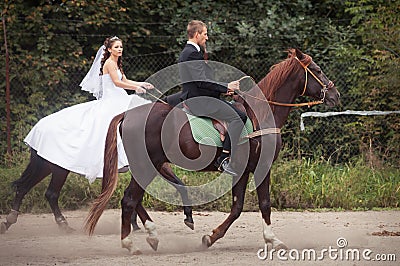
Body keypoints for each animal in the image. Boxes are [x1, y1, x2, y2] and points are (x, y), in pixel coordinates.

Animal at [85, 47, 340, 254]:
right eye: (317, 69)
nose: (335, 95)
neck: (261, 114)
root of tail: (127, 114)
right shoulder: (261, 167)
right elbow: (265, 204)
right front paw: (273, 240)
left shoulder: (242, 171)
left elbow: (237, 207)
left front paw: (210, 237)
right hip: (147, 165)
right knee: (130, 199)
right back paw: (130, 244)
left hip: (149, 166)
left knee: (135, 200)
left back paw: (152, 236)